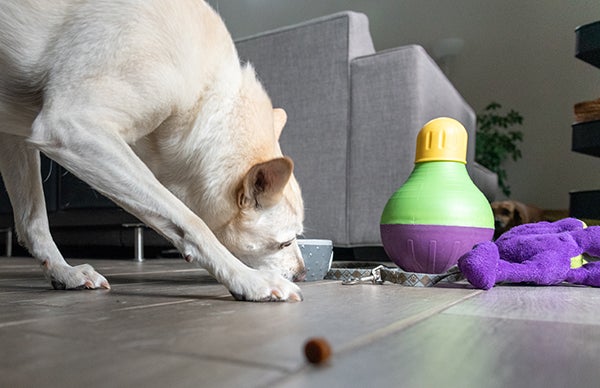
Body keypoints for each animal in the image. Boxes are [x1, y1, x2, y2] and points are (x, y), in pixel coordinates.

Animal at [0, 0, 308, 302]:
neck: (202, 96)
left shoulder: (15, 136)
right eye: (285, 242)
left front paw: (62, 272)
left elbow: (33, 220)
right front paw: (249, 280)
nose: (303, 274)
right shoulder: (71, 127)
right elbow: (191, 220)